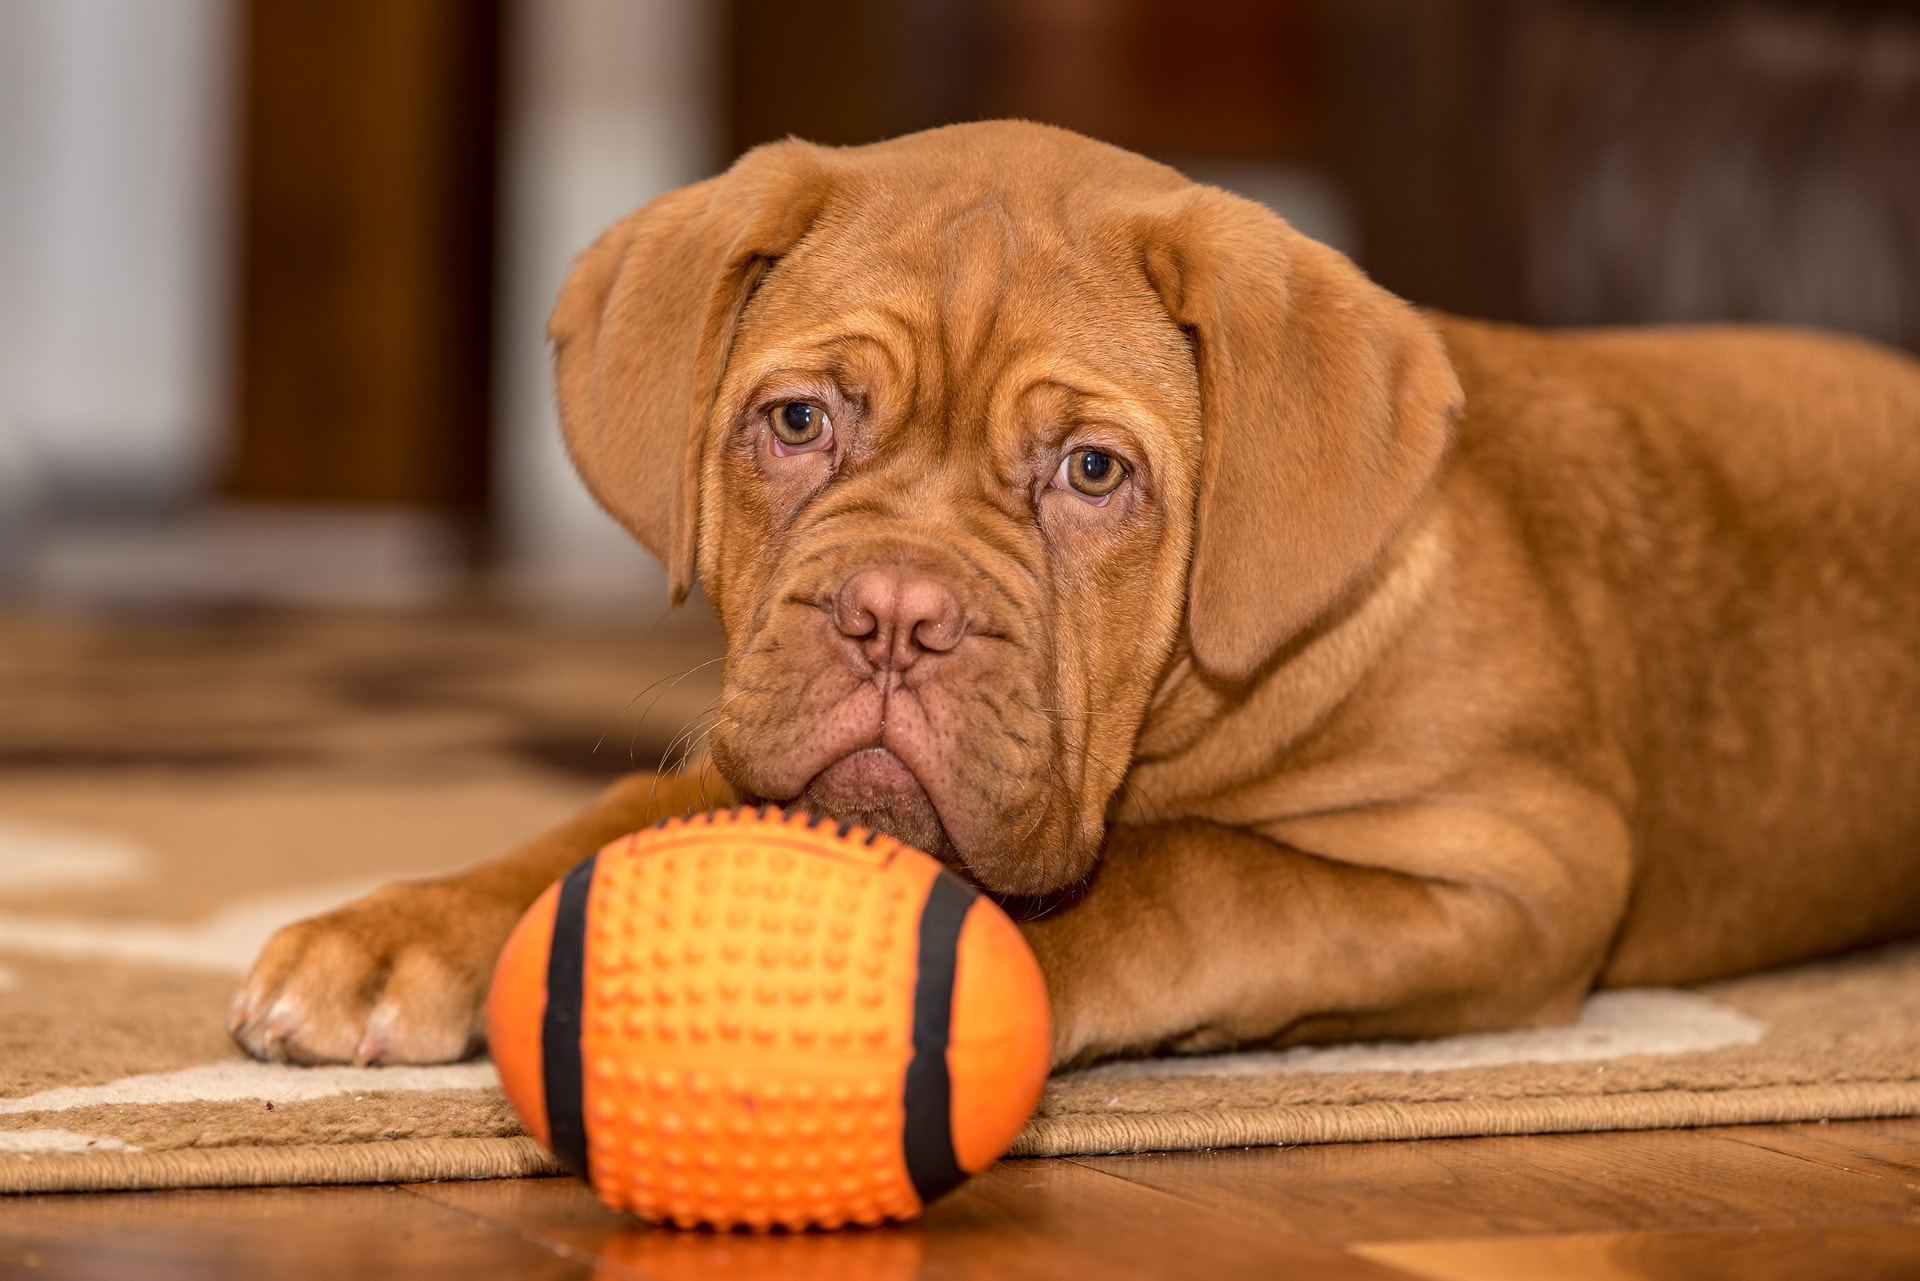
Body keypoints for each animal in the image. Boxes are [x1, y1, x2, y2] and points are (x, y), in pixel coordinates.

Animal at [232, 124, 1920, 1075]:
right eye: (799, 422)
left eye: (1093, 471)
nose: (892, 614)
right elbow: (604, 825)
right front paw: (406, 931)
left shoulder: (1515, 863)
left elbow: (1194, 877)